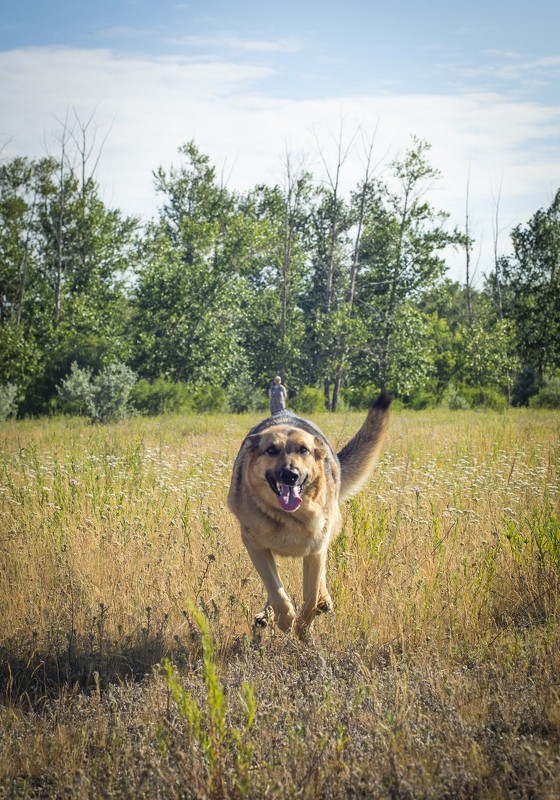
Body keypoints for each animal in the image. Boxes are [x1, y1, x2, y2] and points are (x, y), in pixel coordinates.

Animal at [226, 390, 390, 640]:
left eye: (303, 450)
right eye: (271, 450)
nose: (290, 475)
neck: (290, 517)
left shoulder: (315, 551)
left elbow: (310, 599)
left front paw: (304, 631)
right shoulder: (256, 547)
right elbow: (276, 591)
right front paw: (285, 620)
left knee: (321, 578)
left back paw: (323, 601)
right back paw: (266, 615)